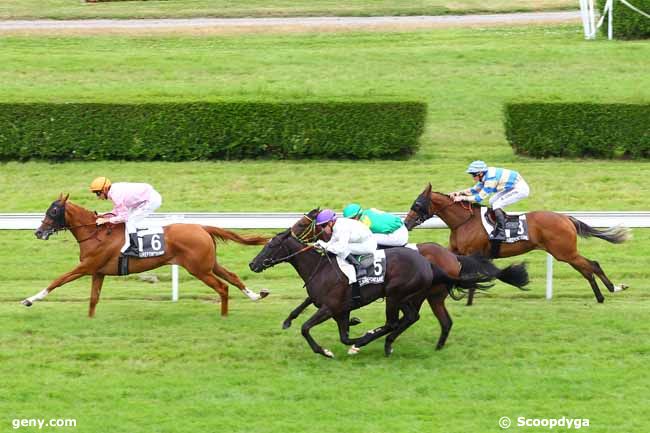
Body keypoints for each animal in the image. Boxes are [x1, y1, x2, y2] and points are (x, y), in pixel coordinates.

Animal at [23, 194, 268, 316]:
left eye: (54, 211)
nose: (38, 232)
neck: (95, 233)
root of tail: (202, 227)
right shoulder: (98, 272)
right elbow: (93, 299)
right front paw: (90, 319)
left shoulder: (86, 267)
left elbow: (58, 280)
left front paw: (30, 299)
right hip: (209, 264)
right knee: (232, 277)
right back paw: (257, 295)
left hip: (199, 269)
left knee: (222, 287)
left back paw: (224, 315)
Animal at [248, 208, 492, 356]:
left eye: (271, 246)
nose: (252, 264)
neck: (321, 267)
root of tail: (431, 262)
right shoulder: (340, 310)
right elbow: (341, 334)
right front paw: (288, 321)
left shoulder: (330, 307)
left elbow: (307, 328)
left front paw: (327, 350)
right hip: (411, 297)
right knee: (415, 318)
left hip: (396, 295)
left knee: (395, 322)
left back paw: (373, 342)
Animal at [402, 182, 624, 304]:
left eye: (417, 204)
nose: (406, 222)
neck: (463, 222)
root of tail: (565, 218)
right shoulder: (454, 251)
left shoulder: (473, 254)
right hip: (565, 253)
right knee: (586, 269)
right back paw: (602, 295)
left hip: (564, 252)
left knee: (592, 265)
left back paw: (613, 289)